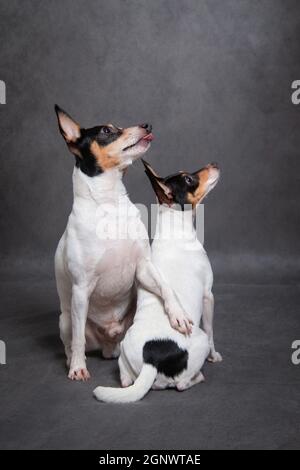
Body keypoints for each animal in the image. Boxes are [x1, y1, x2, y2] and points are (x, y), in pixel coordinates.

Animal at [94, 160, 223, 402]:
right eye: (188, 179)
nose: (214, 164)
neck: (175, 231)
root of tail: (150, 359)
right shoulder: (208, 296)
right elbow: (212, 331)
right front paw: (215, 356)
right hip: (198, 341)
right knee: (181, 383)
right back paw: (197, 377)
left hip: (124, 347)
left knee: (125, 378)